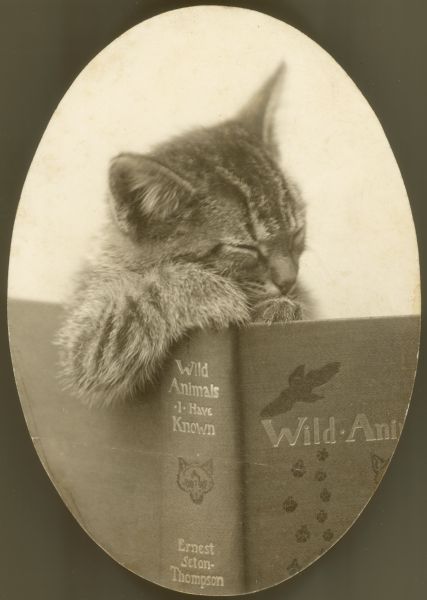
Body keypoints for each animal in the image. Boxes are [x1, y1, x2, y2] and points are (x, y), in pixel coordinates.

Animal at [56, 63, 306, 406]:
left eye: (296, 233)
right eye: (245, 248)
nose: (289, 281)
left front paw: (283, 307)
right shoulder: (83, 338)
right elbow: (145, 294)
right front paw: (211, 292)